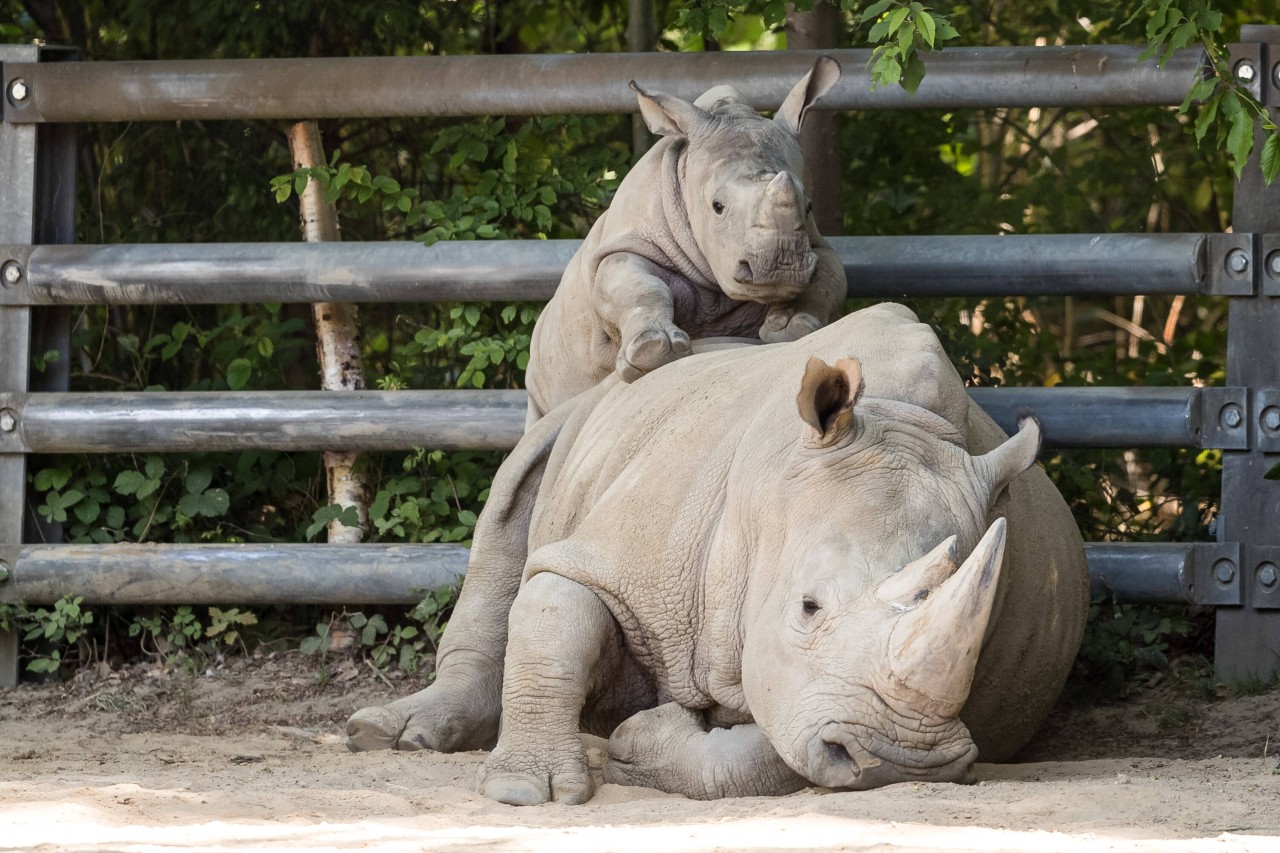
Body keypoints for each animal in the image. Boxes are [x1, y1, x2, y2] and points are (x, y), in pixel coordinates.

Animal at [519, 55, 849, 422]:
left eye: (809, 207)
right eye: (717, 207)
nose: (779, 268)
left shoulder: (817, 245)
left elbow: (829, 278)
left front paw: (789, 325)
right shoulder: (623, 247)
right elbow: (638, 285)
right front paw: (653, 350)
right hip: (538, 373)